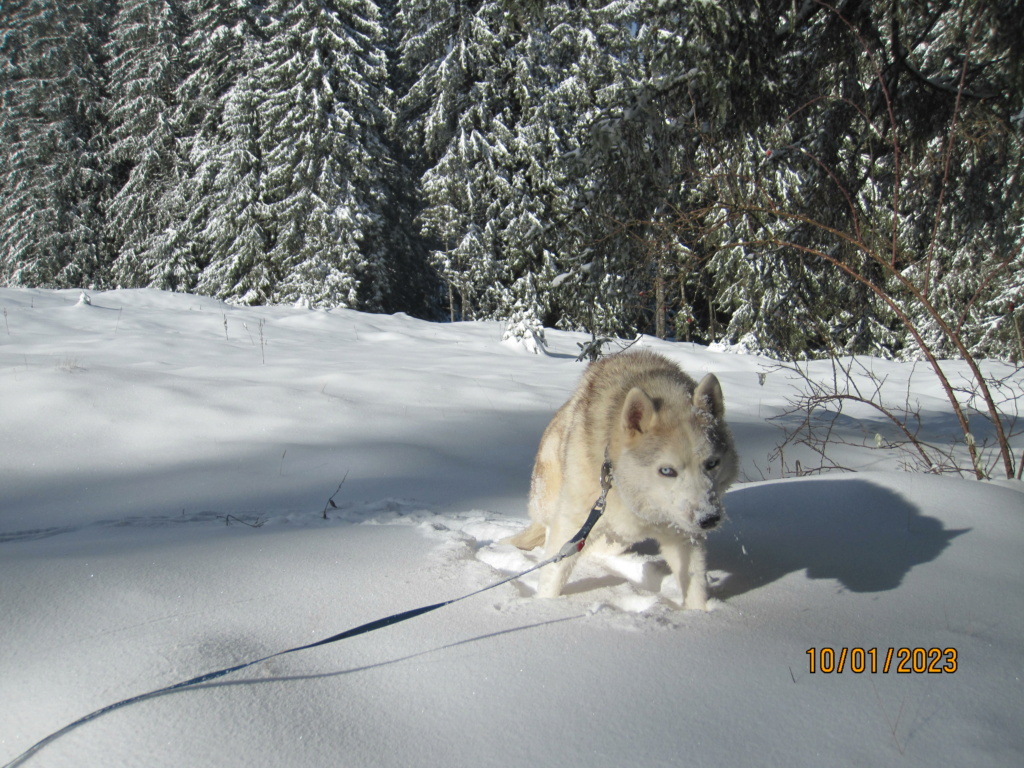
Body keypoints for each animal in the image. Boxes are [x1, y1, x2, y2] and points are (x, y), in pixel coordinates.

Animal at [509, 350, 737, 614]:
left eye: (712, 464)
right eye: (667, 470)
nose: (709, 519)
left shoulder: (683, 535)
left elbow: (695, 585)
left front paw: (699, 615)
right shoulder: (571, 524)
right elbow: (553, 575)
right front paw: (543, 606)